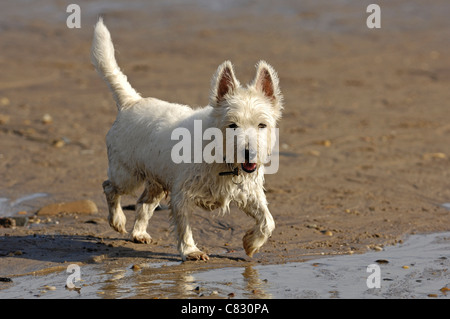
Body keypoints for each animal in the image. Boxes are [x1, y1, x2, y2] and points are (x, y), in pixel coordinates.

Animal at [89, 18, 284, 262]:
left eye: (262, 125)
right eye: (232, 125)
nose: (249, 153)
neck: (221, 157)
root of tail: (131, 102)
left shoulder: (250, 194)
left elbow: (268, 221)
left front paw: (251, 243)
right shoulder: (182, 193)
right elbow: (184, 226)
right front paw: (191, 250)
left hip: (157, 181)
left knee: (143, 203)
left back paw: (139, 233)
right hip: (128, 175)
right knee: (110, 188)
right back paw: (117, 220)